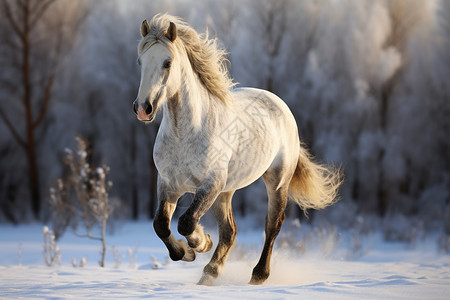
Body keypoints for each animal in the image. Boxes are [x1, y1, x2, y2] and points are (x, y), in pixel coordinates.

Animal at [133, 14, 342, 286]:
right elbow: (161, 225)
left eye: (167, 62)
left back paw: (257, 275)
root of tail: (280, 104)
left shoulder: (211, 183)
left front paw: (200, 243)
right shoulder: (169, 184)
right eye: (140, 61)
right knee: (230, 231)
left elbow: (186, 222)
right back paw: (209, 274)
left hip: (276, 182)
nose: (143, 108)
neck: (186, 132)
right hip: (226, 191)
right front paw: (188, 251)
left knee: (272, 224)